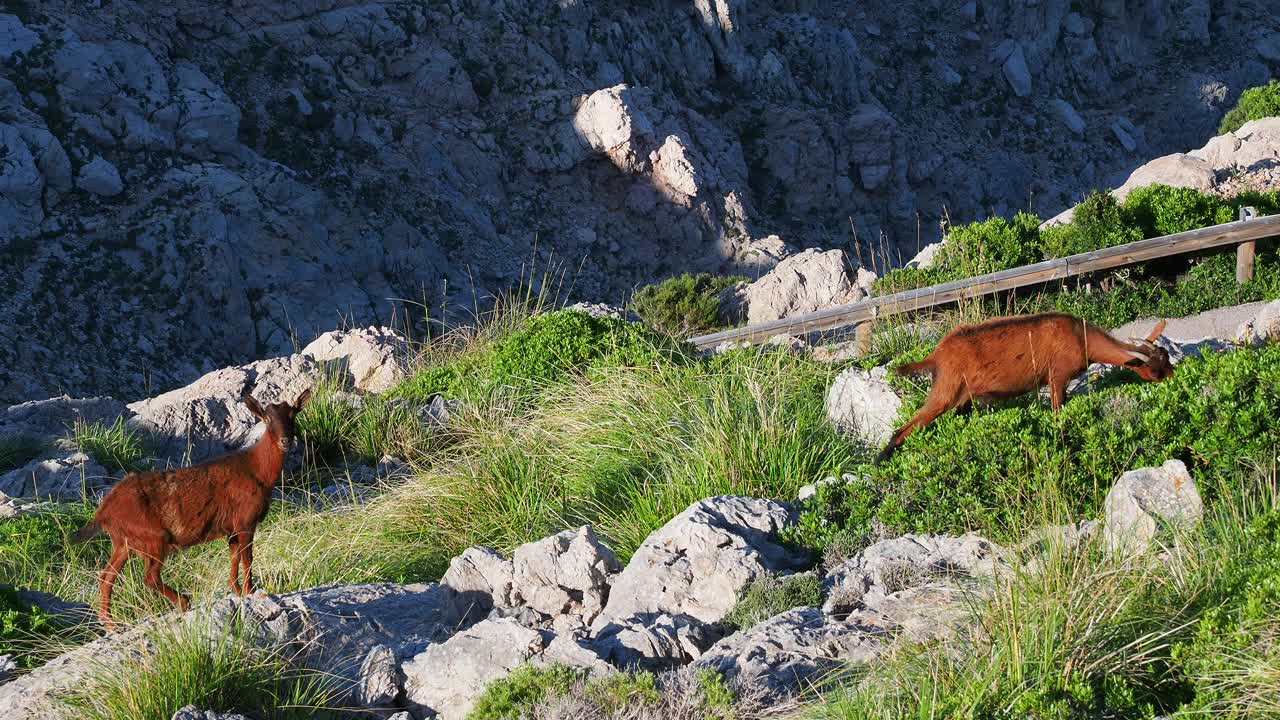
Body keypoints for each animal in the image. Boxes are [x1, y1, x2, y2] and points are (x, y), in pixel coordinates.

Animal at [72, 384, 312, 625]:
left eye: (293, 415)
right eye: (267, 419)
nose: (285, 441)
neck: (257, 471)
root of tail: (103, 512)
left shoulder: (231, 527)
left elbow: (234, 557)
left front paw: (235, 589)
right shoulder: (246, 520)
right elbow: (248, 558)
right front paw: (251, 591)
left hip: (124, 541)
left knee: (106, 577)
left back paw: (111, 624)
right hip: (153, 536)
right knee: (148, 576)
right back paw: (183, 602)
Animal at [875, 310, 1172, 458]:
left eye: (1167, 358)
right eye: (1155, 371)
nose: (1174, 376)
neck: (1081, 337)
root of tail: (937, 354)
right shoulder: (1057, 377)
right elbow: (1058, 412)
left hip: (962, 398)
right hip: (945, 392)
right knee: (902, 430)